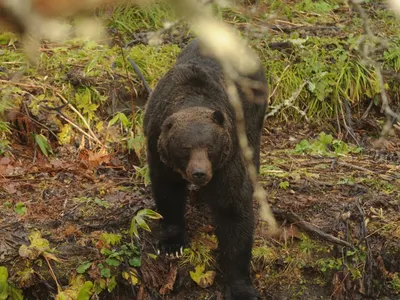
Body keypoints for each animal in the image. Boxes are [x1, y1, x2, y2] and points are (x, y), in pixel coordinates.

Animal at [142, 38, 268, 300]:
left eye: (209, 146)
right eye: (185, 147)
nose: (200, 173)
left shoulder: (226, 161)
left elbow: (232, 209)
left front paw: (241, 287)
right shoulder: (158, 148)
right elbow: (168, 192)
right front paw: (172, 244)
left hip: (254, 106)